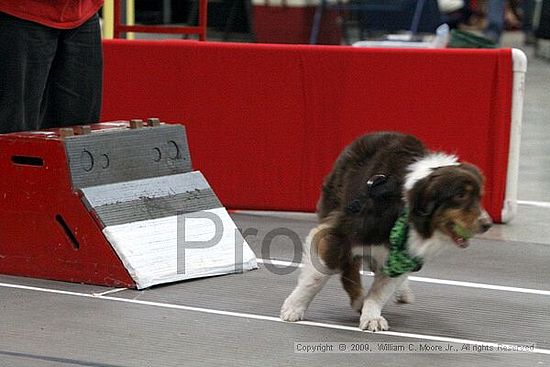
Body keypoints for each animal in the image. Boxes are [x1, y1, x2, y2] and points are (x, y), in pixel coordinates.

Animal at [282, 133, 494, 334]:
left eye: (479, 196)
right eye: (460, 195)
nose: (487, 224)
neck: (407, 204)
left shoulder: (403, 253)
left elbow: (380, 291)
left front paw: (372, 317)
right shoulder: (341, 231)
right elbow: (316, 277)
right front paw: (294, 307)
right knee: (350, 266)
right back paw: (357, 297)